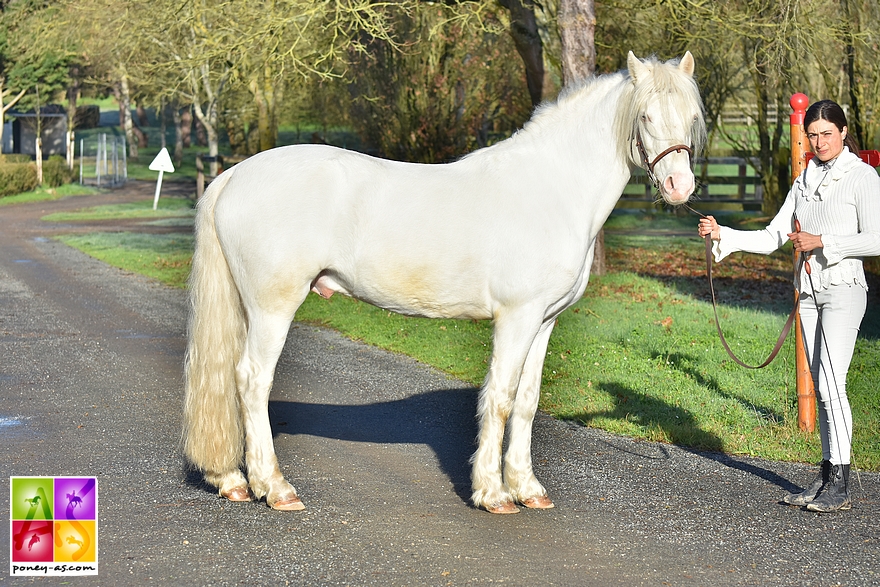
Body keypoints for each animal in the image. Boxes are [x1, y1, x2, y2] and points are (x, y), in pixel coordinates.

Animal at [182, 52, 704, 516]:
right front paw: (494, 494)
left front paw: (528, 488)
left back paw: (231, 481)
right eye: (646, 116)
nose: (680, 187)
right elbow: (500, 399)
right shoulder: (517, 318)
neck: (551, 190)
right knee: (252, 380)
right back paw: (274, 487)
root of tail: (234, 174)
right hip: (273, 307)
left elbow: (528, 402)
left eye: (692, 117)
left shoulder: (544, 321)